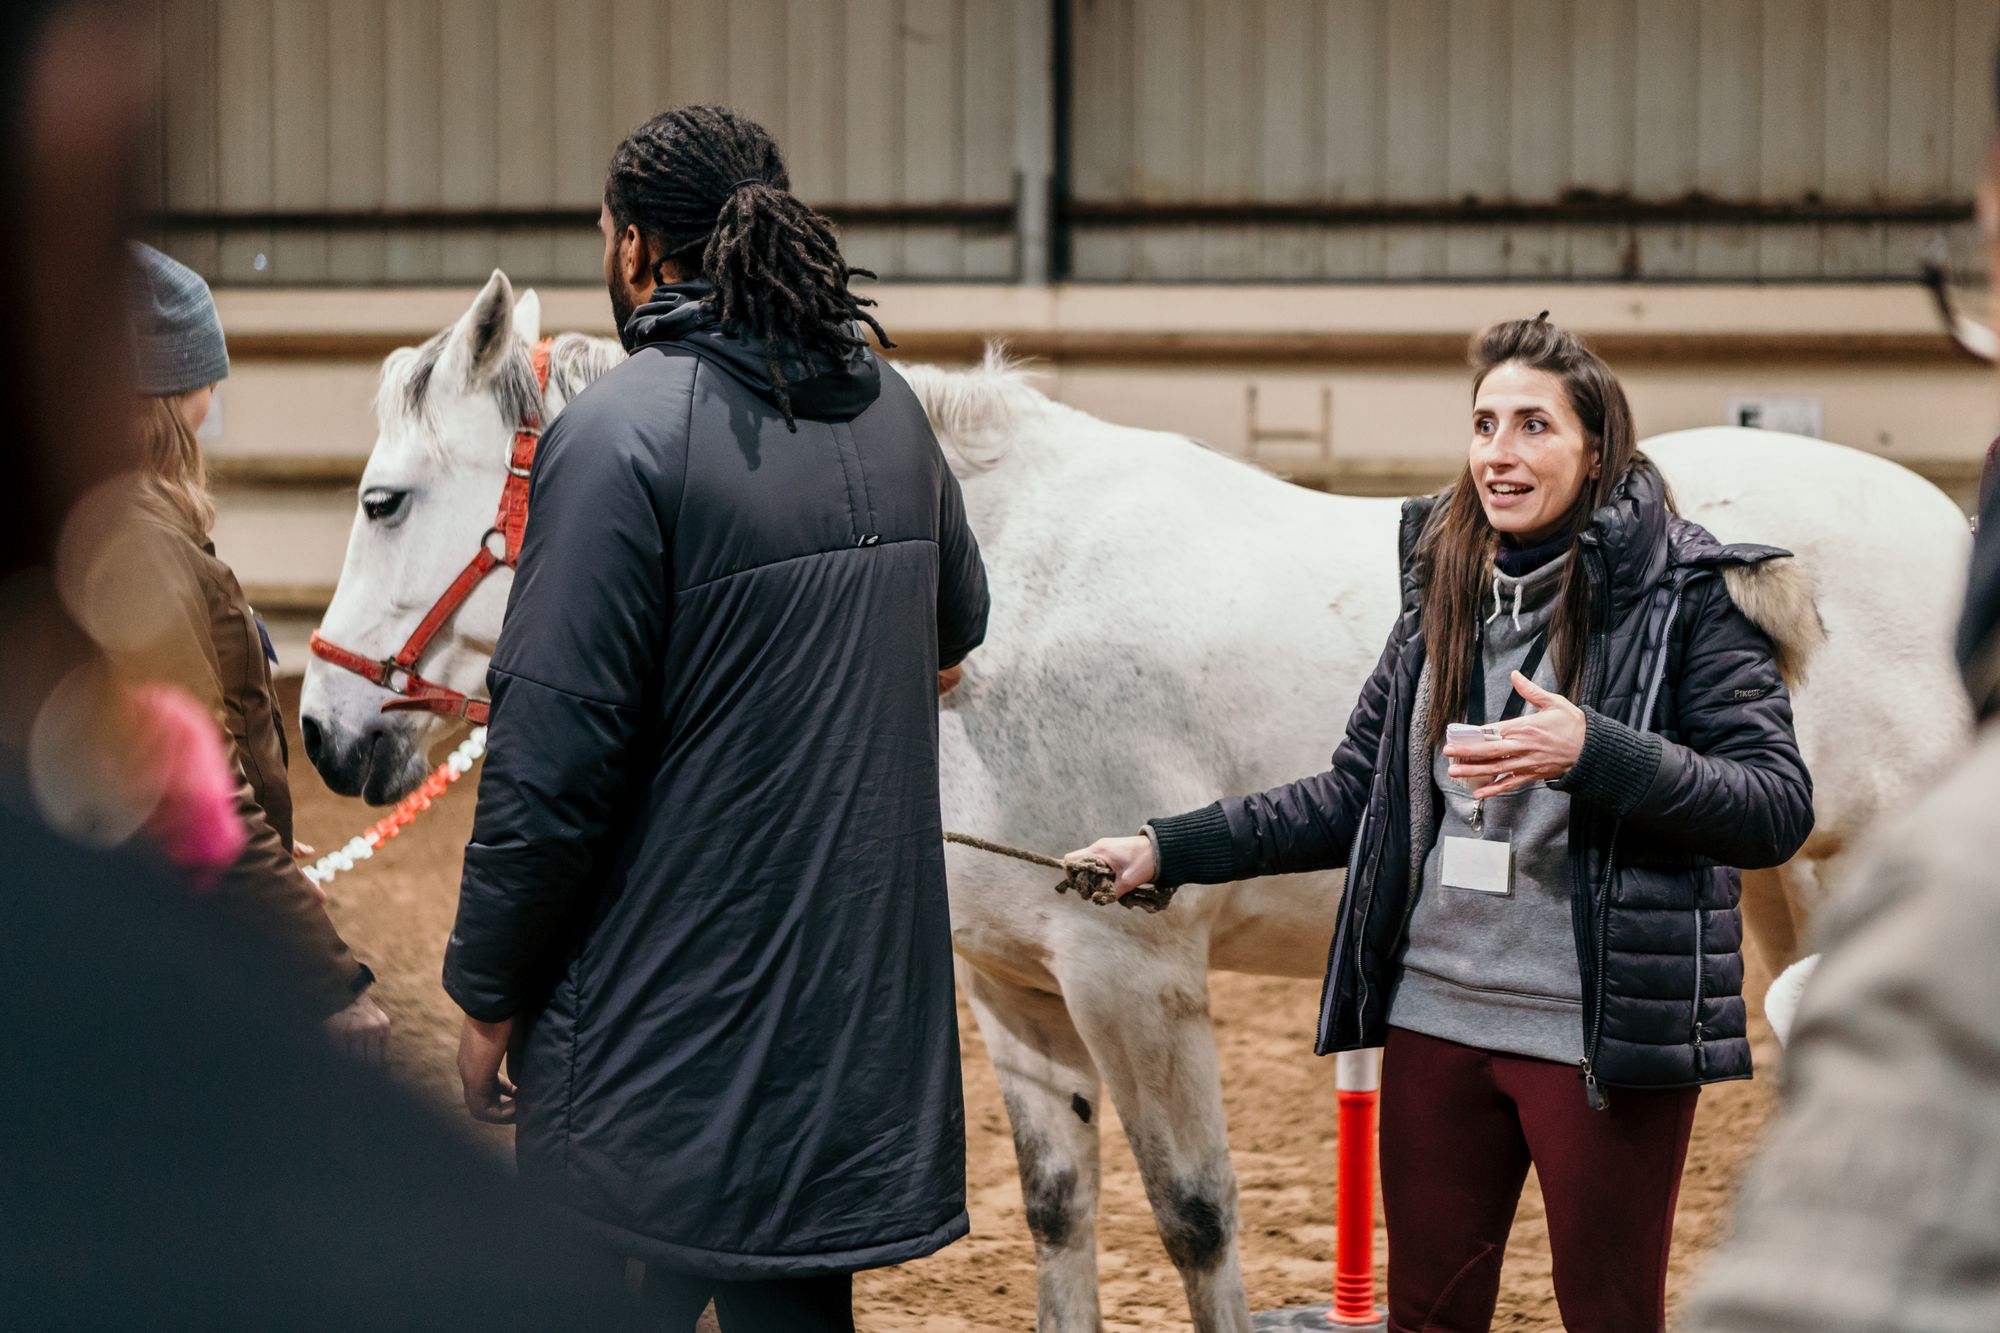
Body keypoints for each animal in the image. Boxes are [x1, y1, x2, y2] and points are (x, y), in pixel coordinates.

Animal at [304, 272, 1976, 1328]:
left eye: (385, 500)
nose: (323, 735)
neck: (985, 621)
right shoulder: (1016, 987)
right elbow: (1063, 1212)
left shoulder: (1134, 969)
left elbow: (1193, 1216)